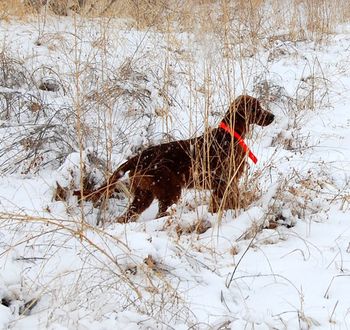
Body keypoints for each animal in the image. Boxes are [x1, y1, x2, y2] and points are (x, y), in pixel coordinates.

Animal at [75, 94, 274, 222]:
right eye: (257, 108)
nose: (272, 116)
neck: (230, 135)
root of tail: (139, 156)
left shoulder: (225, 184)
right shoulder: (224, 182)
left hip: (144, 195)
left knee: (125, 217)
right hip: (170, 190)